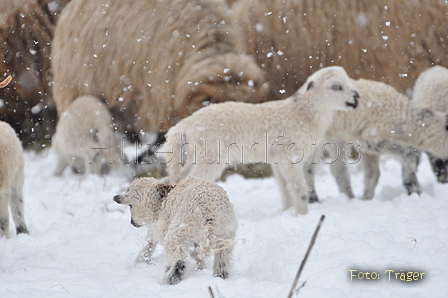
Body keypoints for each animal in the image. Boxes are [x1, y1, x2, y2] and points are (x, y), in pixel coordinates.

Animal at [165, 66, 360, 214]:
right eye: (335, 87)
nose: (356, 98)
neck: (303, 114)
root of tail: (185, 125)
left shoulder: (277, 159)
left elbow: (284, 189)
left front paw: (288, 213)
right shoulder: (290, 157)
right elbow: (298, 188)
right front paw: (302, 214)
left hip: (196, 155)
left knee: (180, 177)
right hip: (210, 157)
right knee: (191, 181)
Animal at [304, 78, 448, 201]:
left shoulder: (365, 145)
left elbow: (372, 174)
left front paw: (366, 199)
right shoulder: (374, 138)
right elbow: (409, 154)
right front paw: (414, 189)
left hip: (336, 140)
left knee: (337, 169)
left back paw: (349, 197)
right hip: (315, 140)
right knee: (307, 168)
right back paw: (313, 198)